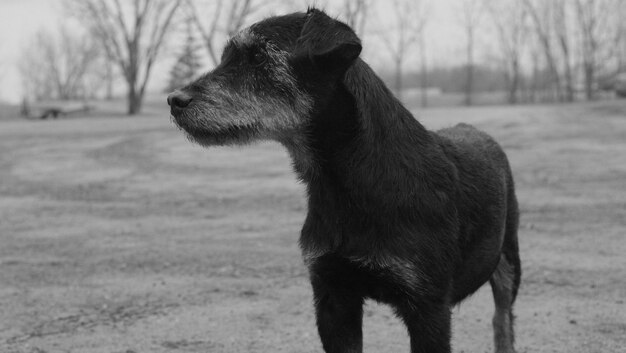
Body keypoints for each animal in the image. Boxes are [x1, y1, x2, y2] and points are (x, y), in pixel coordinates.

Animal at [168, 8, 520, 352]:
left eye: (257, 57)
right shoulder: (333, 297)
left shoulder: (428, 308)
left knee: (502, 321)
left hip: (508, 263)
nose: (173, 100)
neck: (351, 182)